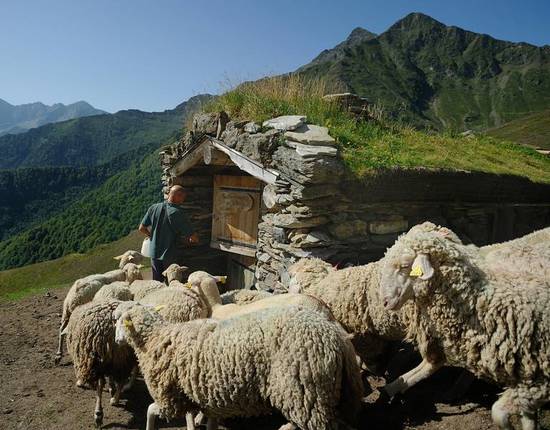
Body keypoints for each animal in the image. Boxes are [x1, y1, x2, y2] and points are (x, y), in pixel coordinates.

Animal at [66, 298, 139, 426]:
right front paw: (111, 387)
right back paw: (115, 399)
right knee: (122, 379)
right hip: (124, 357)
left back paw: (98, 414)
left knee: (100, 385)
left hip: (97, 356)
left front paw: (80, 382)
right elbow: (112, 378)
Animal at [115, 302, 366, 430]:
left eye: (118, 321)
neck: (155, 338)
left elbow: (150, 410)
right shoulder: (204, 400)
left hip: (307, 393)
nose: (116, 340)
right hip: (321, 396)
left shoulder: (169, 398)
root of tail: (335, 335)